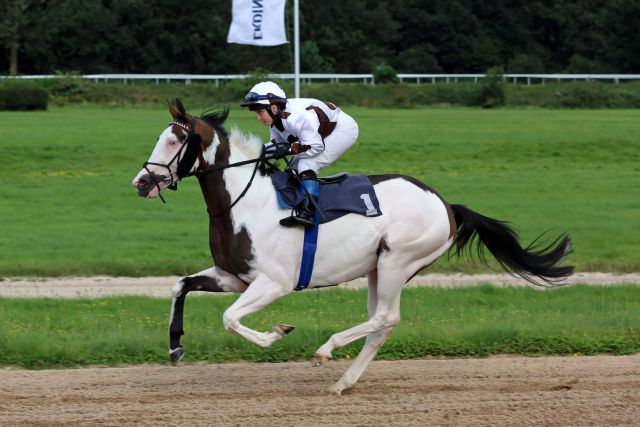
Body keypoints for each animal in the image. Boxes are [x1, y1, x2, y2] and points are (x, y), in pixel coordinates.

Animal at [131, 99, 576, 394]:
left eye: (174, 141)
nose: (141, 182)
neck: (244, 202)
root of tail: (446, 205)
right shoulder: (233, 276)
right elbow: (180, 286)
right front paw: (175, 346)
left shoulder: (273, 283)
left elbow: (229, 319)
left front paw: (277, 334)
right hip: (379, 268)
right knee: (381, 324)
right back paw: (343, 382)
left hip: (398, 260)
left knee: (385, 317)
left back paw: (327, 350)